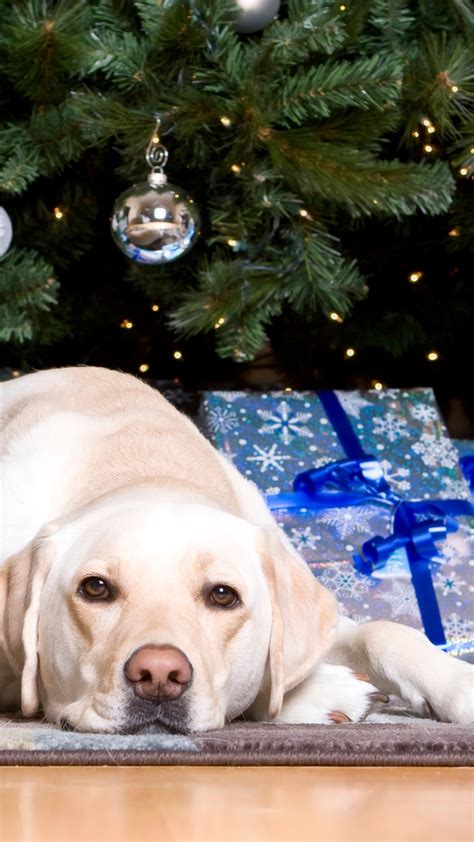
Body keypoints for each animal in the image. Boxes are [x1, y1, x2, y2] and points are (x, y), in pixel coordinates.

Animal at [0, 366, 472, 728]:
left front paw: (458, 684)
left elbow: (385, 631)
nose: (158, 674)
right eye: (95, 588)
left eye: (223, 595)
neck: (143, 464)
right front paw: (322, 692)